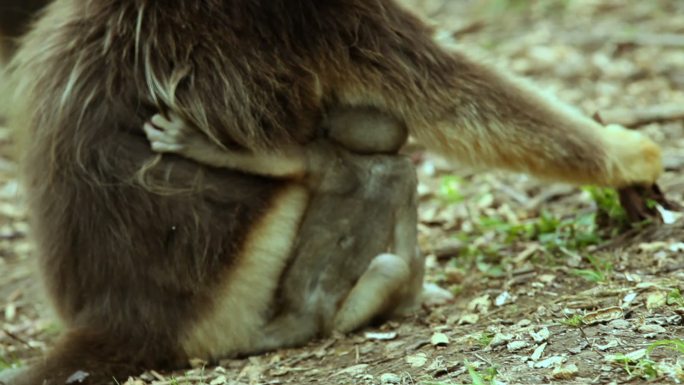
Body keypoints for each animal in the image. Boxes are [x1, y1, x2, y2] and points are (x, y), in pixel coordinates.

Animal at [4, 0, 664, 384]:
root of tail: (120, 323)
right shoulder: (312, 16)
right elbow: (453, 97)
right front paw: (626, 155)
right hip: (245, 287)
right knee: (368, 166)